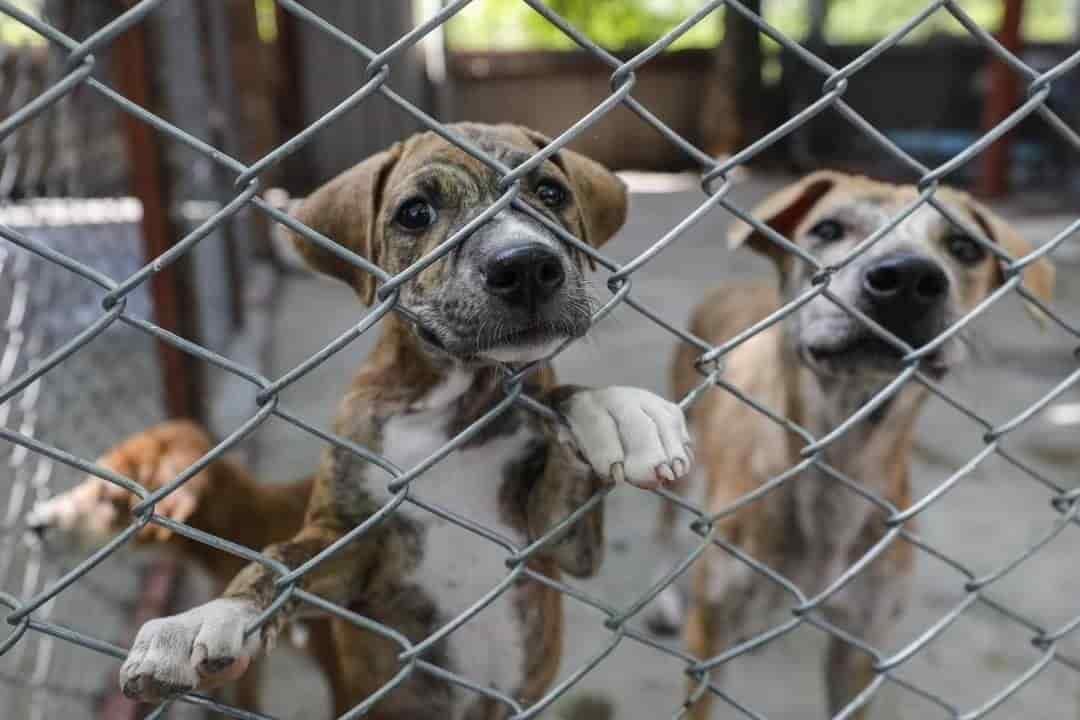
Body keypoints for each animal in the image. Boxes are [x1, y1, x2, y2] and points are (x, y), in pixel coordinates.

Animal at [48, 125, 691, 720]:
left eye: (551, 192)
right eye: (415, 213)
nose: (527, 265)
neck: (460, 404)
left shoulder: (558, 542)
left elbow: (559, 404)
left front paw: (618, 412)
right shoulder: (351, 543)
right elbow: (279, 562)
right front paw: (203, 619)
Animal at [648, 172, 1054, 720]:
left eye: (965, 247)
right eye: (828, 228)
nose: (907, 279)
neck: (839, 462)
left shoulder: (861, 646)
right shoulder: (708, 637)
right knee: (665, 528)